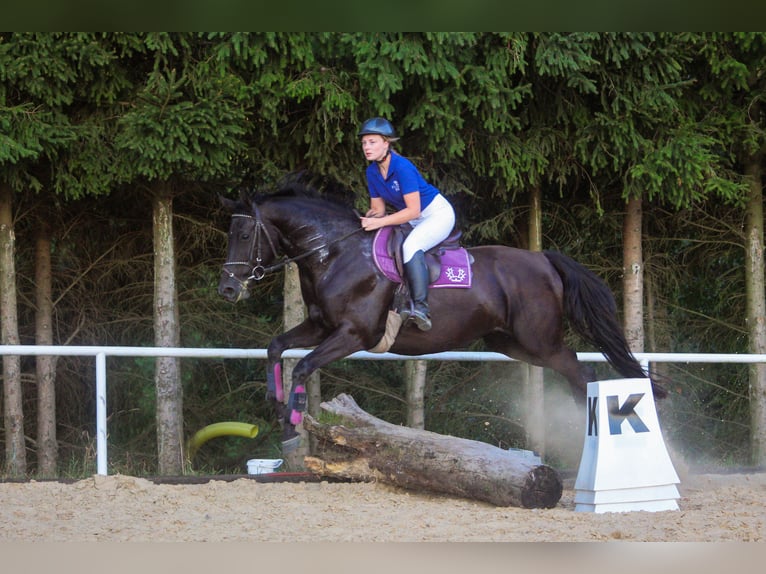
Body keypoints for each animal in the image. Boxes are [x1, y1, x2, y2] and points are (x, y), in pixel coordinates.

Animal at [219, 182, 668, 452]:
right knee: (574, 370)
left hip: (541, 341)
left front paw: (291, 424)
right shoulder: (320, 327)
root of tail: (543, 259)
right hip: (511, 343)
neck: (334, 254)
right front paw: (277, 409)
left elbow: (303, 366)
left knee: (580, 371)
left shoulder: (352, 334)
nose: (228, 289)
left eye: (243, 234)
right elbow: (275, 347)